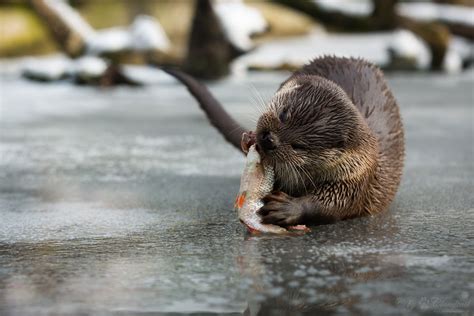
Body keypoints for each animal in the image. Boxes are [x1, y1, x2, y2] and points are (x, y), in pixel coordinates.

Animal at [165, 56, 406, 225]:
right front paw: (250, 137)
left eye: (299, 146)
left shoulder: (356, 173)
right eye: (284, 115)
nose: (269, 139)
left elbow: (335, 203)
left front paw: (287, 209)